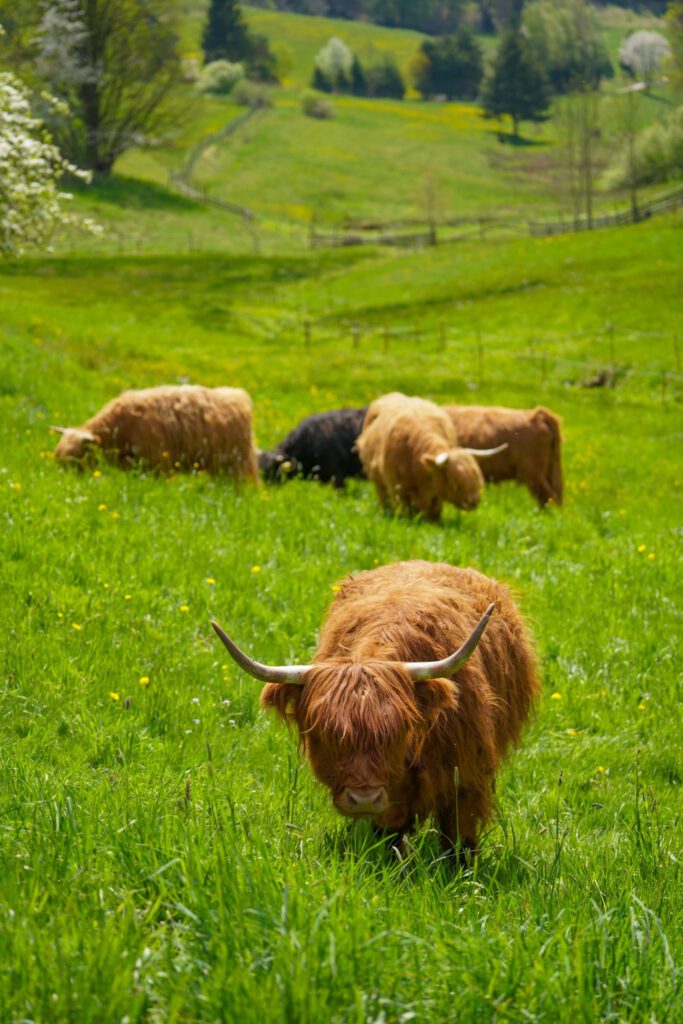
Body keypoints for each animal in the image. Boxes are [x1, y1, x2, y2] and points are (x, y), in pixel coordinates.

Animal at [212, 560, 539, 864]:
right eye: (324, 734)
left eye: (399, 732)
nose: (365, 799)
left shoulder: (467, 778)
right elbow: (391, 839)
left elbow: (459, 840)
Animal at [356, 393, 506, 521]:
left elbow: (434, 510)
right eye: (455, 484)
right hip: (379, 482)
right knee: (384, 499)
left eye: (477, 478)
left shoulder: (436, 491)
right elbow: (406, 509)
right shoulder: (397, 488)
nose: (473, 501)